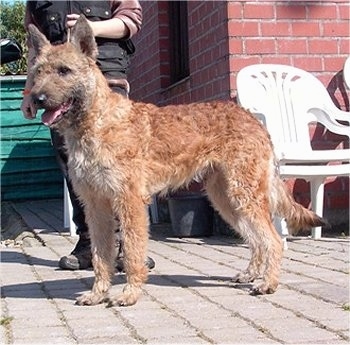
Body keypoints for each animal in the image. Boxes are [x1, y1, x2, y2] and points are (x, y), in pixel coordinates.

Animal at [26, 17, 326, 306]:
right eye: (38, 72)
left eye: (64, 71)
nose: (36, 98)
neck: (96, 124)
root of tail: (251, 117)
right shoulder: (95, 205)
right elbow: (101, 257)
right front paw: (97, 293)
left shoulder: (129, 203)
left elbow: (132, 254)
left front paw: (129, 294)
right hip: (226, 200)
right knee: (256, 240)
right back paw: (251, 274)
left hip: (243, 196)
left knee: (272, 240)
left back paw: (268, 283)